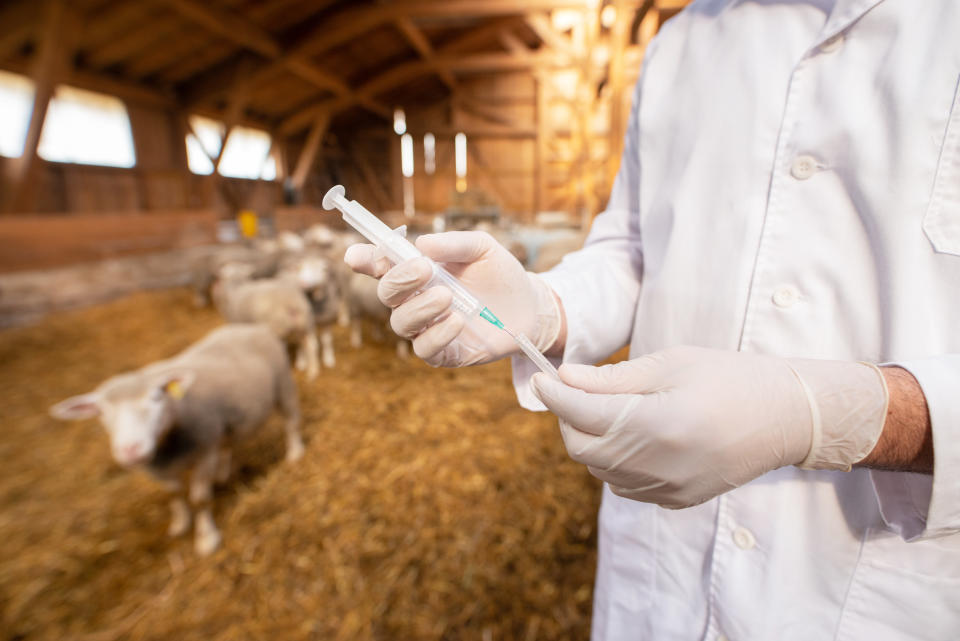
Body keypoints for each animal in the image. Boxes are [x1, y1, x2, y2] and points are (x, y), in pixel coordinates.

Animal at [49, 324, 304, 556]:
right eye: (101, 411)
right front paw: (180, 523)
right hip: (225, 422)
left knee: (291, 422)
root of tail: (249, 326)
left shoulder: (204, 452)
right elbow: (174, 493)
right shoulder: (159, 468)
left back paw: (294, 453)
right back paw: (222, 473)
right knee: (227, 444)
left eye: (156, 397)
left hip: (283, 386)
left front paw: (206, 539)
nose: (131, 450)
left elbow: (200, 499)